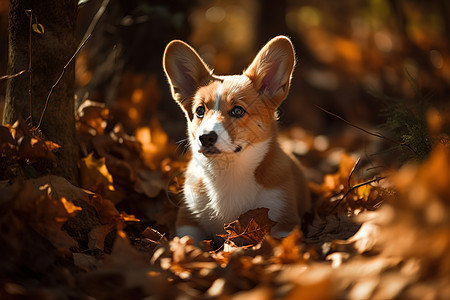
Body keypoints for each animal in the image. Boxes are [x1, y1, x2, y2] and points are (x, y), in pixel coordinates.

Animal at [163, 36, 312, 243]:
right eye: (200, 110)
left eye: (237, 111)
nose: (206, 138)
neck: (227, 170)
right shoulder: (188, 221)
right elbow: (191, 243)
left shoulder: (285, 222)